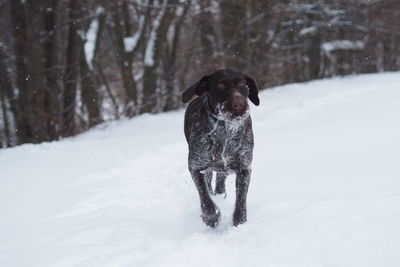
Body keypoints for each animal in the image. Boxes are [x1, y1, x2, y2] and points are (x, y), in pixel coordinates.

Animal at [181, 69, 260, 228]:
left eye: (243, 83)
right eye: (220, 85)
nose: (239, 104)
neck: (224, 131)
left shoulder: (244, 167)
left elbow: (241, 201)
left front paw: (239, 223)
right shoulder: (196, 167)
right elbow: (205, 198)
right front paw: (211, 218)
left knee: (220, 182)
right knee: (210, 185)